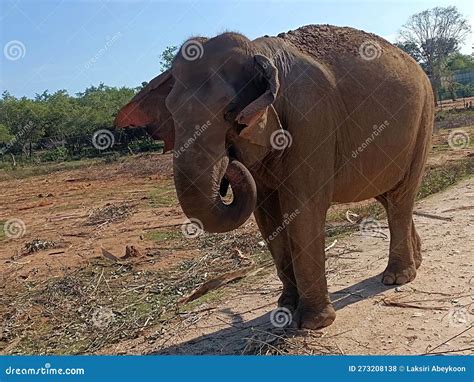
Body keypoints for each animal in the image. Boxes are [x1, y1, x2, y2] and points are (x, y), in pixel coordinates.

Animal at [115, 24, 434, 328]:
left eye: (230, 112)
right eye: (171, 112)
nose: (229, 164)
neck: (258, 51)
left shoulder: (311, 117)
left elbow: (303, 207)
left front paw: (312, 323)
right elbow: (267, 215)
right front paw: (285, 309)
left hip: (424, 119)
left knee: (401, 197)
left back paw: (397, 278)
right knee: (389, 198)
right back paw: (416, 262)